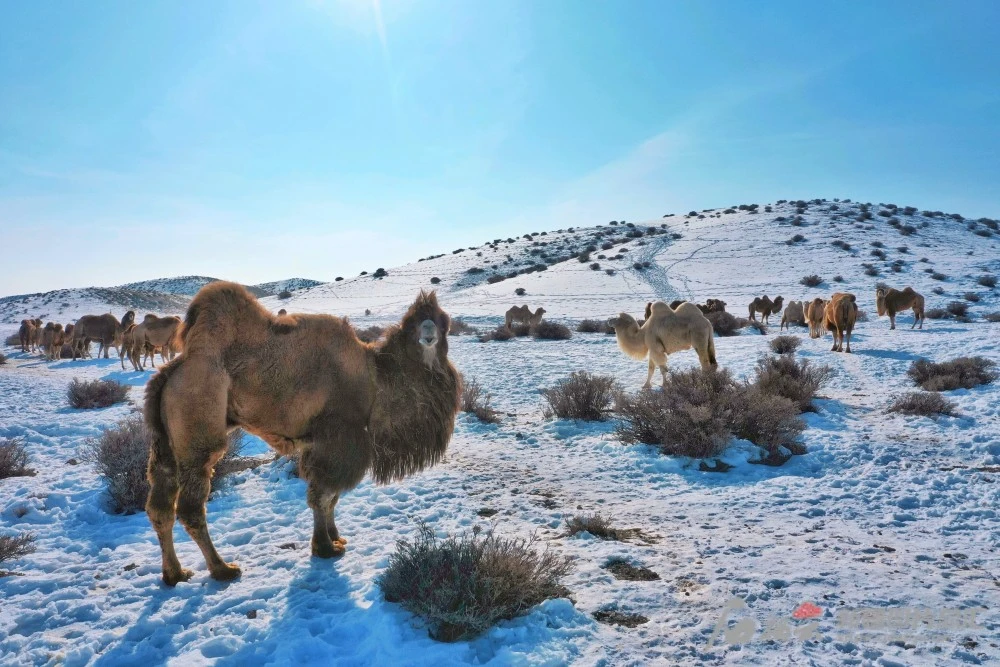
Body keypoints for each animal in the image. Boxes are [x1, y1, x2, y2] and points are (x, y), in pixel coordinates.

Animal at [142, 284, 460, 588]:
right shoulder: (338, 440)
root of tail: (171, 374)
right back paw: (223, 569)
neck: (375, 378)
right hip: (198, 434)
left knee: (160, 506)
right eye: (412, 325)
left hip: (165, 445)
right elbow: (323, 495)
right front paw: (325, 548)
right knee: (191, 508)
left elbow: (331, 498)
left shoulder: (321, 444)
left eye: (444, 321)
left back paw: (174, 574)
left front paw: (336, 537)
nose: (428, 335)